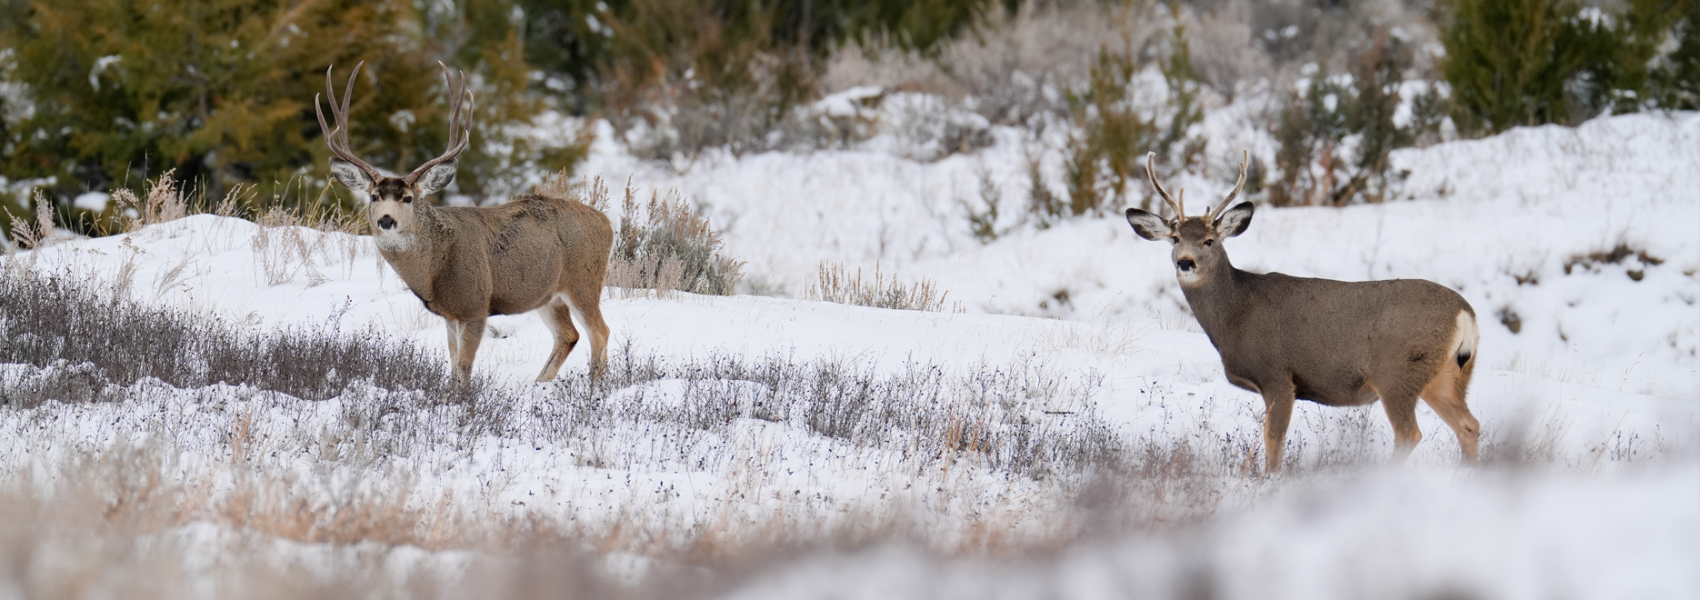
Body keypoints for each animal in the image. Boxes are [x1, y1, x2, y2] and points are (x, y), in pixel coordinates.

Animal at [315, 62, 612, 384]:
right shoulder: (450, 314)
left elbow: (464, 369)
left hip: (584, 280)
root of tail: (607, 223)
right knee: (568, 335)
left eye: (408, 198)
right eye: (373, 196)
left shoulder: (474, 305)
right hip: (547, 295)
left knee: (599, 331)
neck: (436, 265)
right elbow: (453, 365)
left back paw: (594, 386)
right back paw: (540, 385)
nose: (386, 219)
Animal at [1124, 151, 1481, 473]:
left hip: (1397, 373)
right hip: (1447, 376)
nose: (1185, 262)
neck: (1235, 314)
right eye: (1175, 238)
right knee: (1469, 426)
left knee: (1410, 434)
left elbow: (1273, 441)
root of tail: (1466, 315)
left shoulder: (1278, 375)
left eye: (1210, 240)